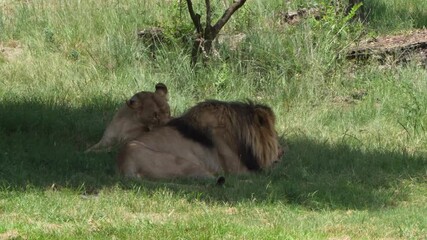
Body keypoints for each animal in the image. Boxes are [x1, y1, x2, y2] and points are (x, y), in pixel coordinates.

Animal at [117, 99, 284, 180]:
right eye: (275, 134)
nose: (282, 151)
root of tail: (125, 165)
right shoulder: (238, 170)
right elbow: (270, 171)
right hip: (189, 165)